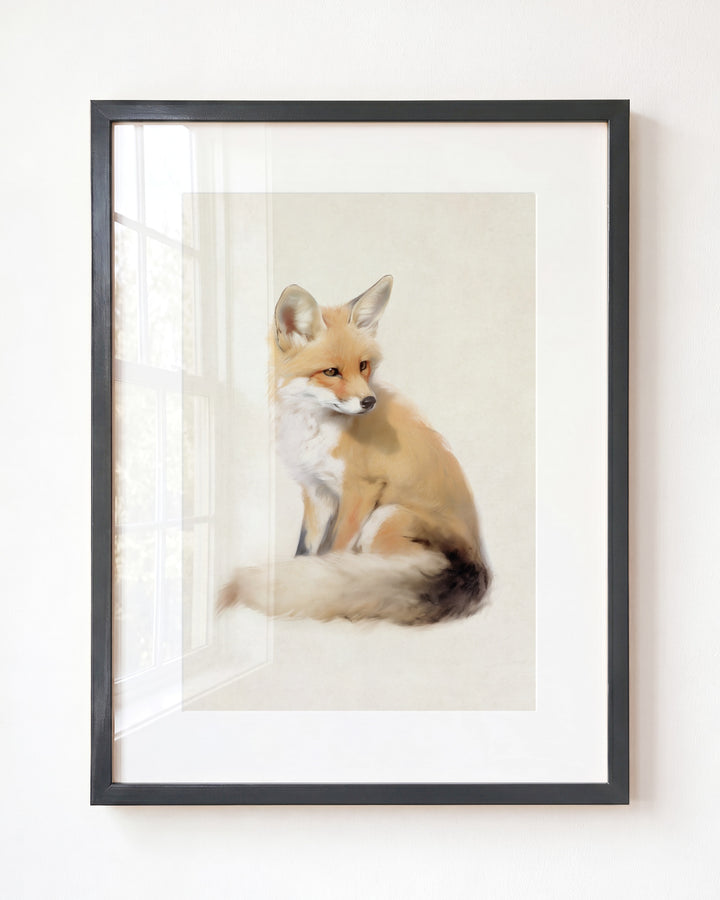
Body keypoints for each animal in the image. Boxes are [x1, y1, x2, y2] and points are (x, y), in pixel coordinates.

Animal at [218, 275, 489, 626]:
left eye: (363, 366)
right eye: (331, 372)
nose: (369, 402)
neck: (314, 431)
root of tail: (477, 566)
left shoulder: (360, 491)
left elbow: (336, 551)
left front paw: (320, 583)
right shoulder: (316, 492)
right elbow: (307, 548)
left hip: (386, 516)